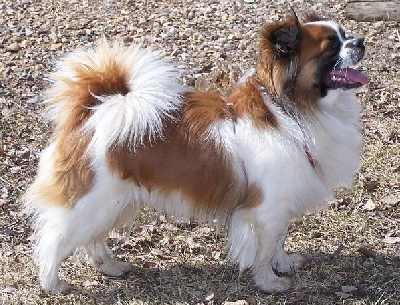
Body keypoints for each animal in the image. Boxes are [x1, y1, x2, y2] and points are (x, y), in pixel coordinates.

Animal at [24, 11, 368, 292]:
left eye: (346, 33)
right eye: (331, 47)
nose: (361, 41)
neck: (294, 112)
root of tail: (92, 112)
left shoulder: (280, 205)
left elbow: (278, 240)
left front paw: (283, 264)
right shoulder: (265, 208)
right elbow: (264, 249)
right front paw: (269, 282)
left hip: (115, 203)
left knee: (93, 239)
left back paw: (111, 267)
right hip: (91, 202)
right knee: (54, 239)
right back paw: (53, 284)